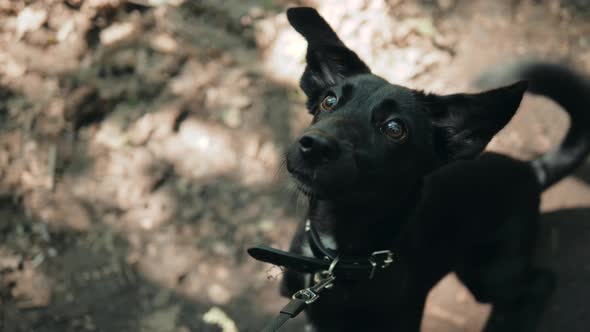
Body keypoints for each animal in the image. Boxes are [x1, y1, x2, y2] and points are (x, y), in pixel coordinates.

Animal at [250, 5, 590, 332]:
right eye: (329, 101)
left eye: (395, 128)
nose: (314, 145)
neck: (339, 260)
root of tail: (531, 170)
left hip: (490, 275)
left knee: (541, 283)